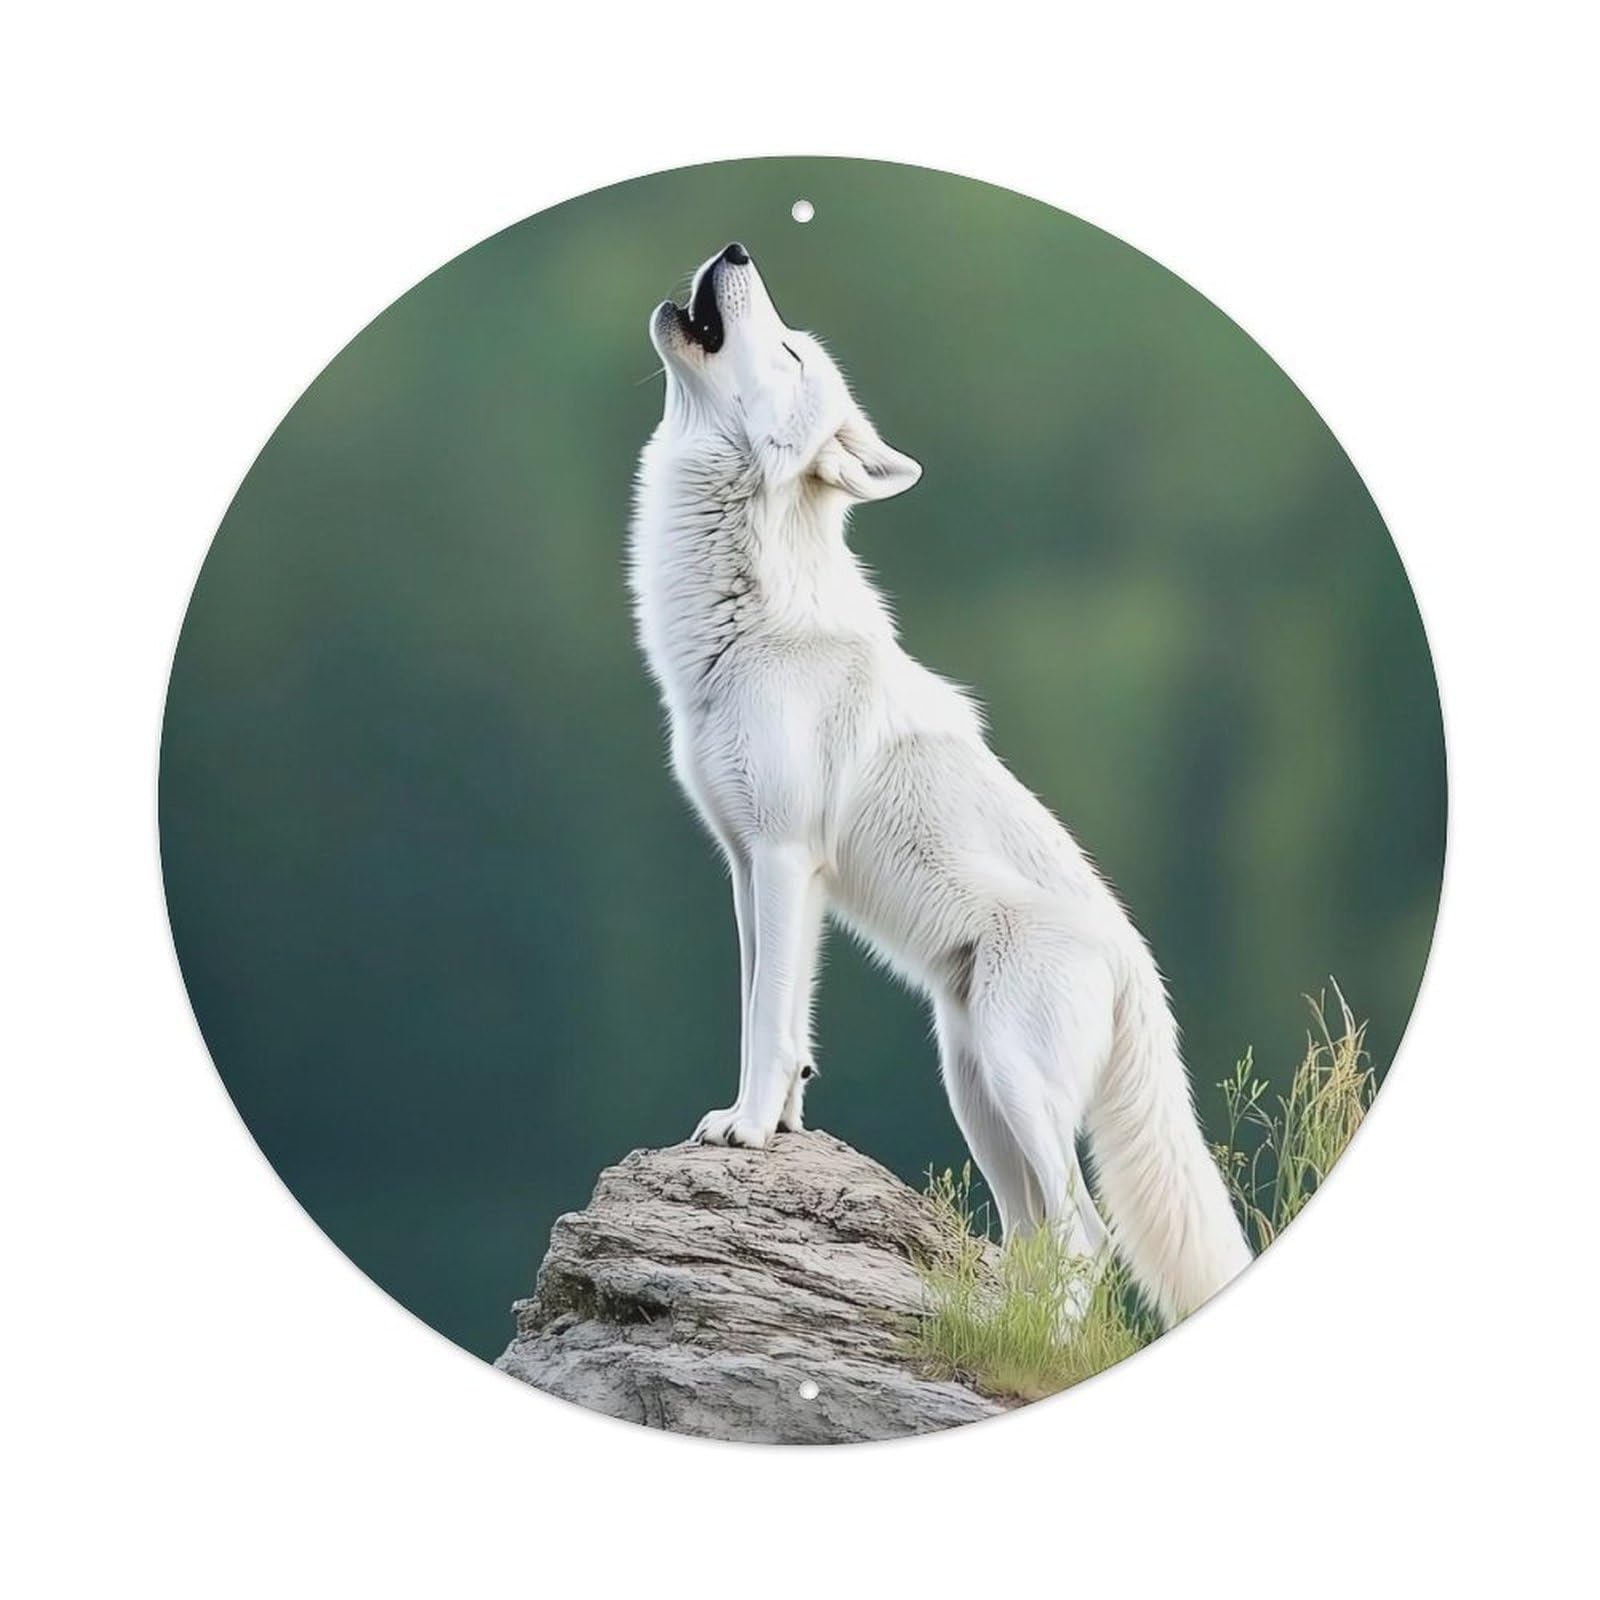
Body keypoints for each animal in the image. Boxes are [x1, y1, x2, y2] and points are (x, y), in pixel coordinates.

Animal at [628, 242, 1252, 1323]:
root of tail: (1142, 970)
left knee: (1087, 1240)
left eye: (790, 351)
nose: (738, 249)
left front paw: (742, 1129)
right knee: (1036, 1238)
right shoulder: (748, 867)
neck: (743, 617)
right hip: (973, 1088)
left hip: (1009, 1078)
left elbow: (764, 1023)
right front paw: (779, 1125)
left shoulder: (785, 858)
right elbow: (777, 1015)